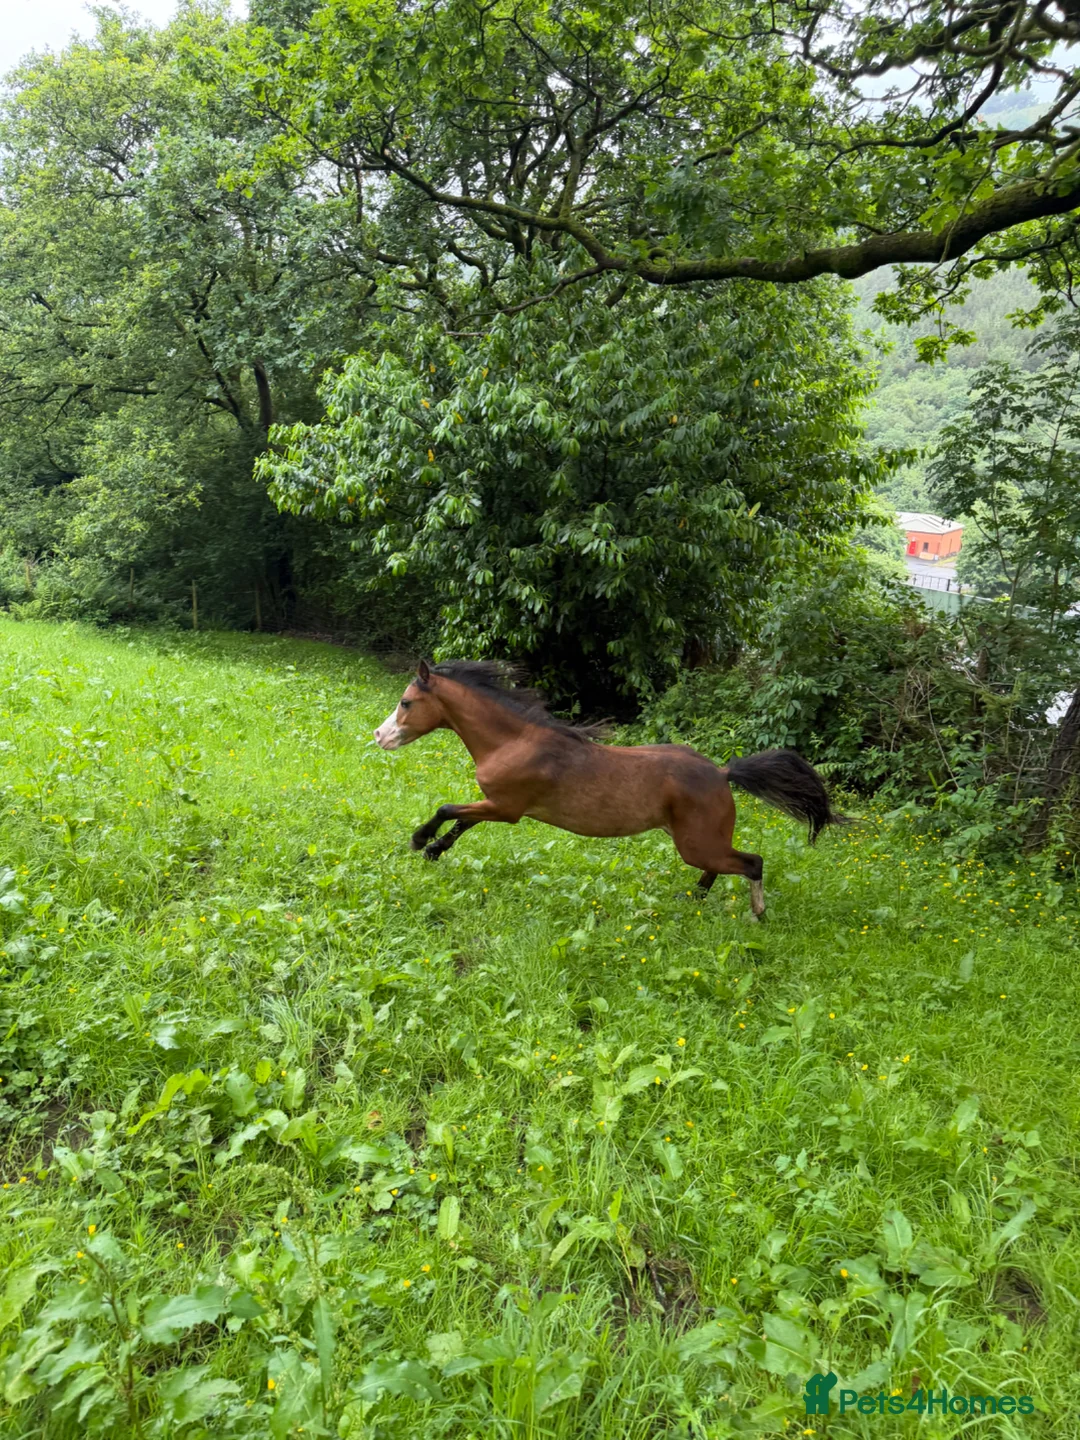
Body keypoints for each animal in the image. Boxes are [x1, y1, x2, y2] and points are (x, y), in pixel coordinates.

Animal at [373, 660, 846, 918]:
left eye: (406, 702)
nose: (379, 737)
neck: (514, 741)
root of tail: (722, 772)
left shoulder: (506, 807)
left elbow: (448, 809)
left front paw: (420, 842)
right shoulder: (497, 804)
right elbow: (461, 822)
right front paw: (435, 850)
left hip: (696, 843)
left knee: (752, 862)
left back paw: (756, 914)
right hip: (695, 840)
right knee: (725, 866)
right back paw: (690, 899)